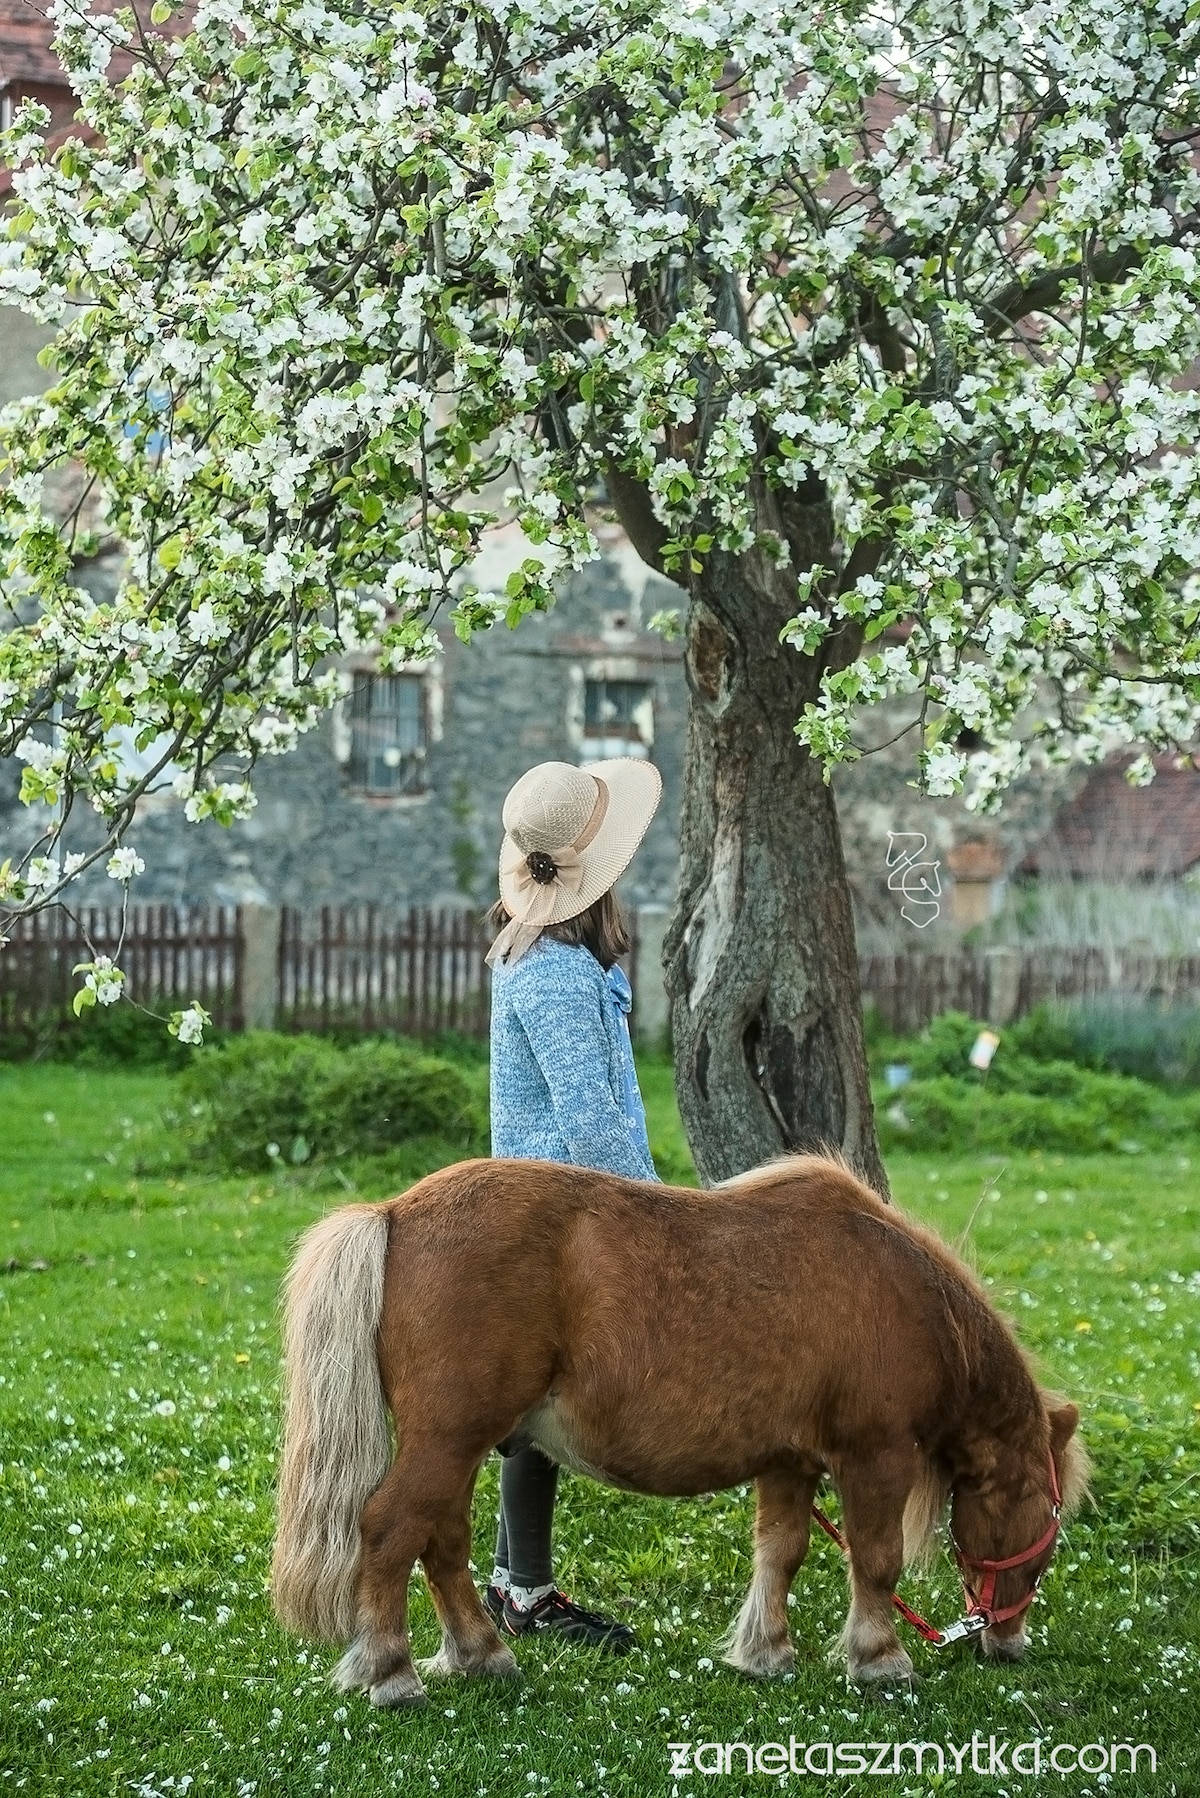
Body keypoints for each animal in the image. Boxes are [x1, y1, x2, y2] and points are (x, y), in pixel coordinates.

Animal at [271, 1157, 1086, 1704]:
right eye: (1047, 1515)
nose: (1006, 1642)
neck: (905, 1295)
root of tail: (394, 1213)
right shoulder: (875, 1455)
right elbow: (876, 1562)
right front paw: (879, 1658)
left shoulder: (790, 1462)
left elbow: (781, 1553)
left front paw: (767, 1651)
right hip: (449, 1440)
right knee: (390, 1530)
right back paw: (392, 1672)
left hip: (460, 1445)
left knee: (440, 1541)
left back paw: (479, 1653)